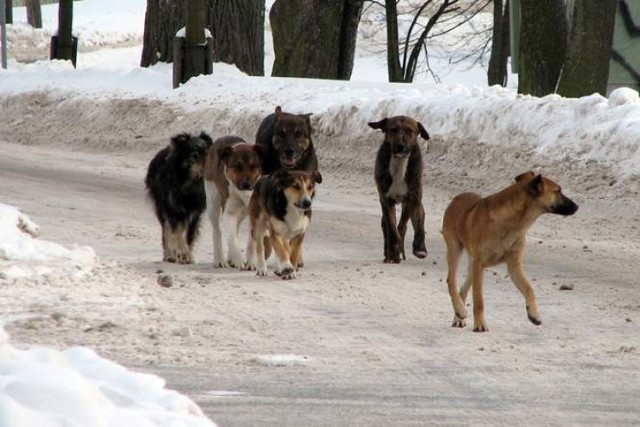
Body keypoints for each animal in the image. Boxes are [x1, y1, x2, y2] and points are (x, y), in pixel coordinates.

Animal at [145, 132, 212, 264]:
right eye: (194, 156)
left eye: (208, 153)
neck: (190, 184)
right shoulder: (173, 209)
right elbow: (177, 232)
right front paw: (182, 253)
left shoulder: (195, 213)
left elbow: (189, 235)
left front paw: (188, 256)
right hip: (161, 206)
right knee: (166, 230)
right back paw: (169, 255)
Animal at [205, 135, 264, 270]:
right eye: (237, 166)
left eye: (253, 166)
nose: (246, 184)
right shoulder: (229, 212)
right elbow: (231, 238)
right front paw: (238, 259)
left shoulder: (254, 212)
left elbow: (251, 240)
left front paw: (251, 262)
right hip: (212, 200)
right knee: (217, 231)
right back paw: (219, 259)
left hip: (242, 213)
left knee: (236, 227)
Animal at [370, 117, 430, 264]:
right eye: (393, 129)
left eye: (410, 130)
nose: (400, 146)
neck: (399, 163)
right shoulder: (386, 199)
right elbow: (392, 228)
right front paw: (393, 252)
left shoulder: (411, 199)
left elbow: (403, 226)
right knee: (386, 227)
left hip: (417, 204)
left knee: (417, 224)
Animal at [442, 172, 576, 332]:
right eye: (558, 191)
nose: (577, 206)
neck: (512, 223)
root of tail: (456, 199)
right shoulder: (479, 263)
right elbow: (479, 300)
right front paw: (480, 324)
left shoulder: (513, 266)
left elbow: (529, 289)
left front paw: (534, 314)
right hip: (455, 249)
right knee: (451, 281)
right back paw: (460, 309)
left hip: (472, 265)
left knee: (463, 289)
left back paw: (459, 315)